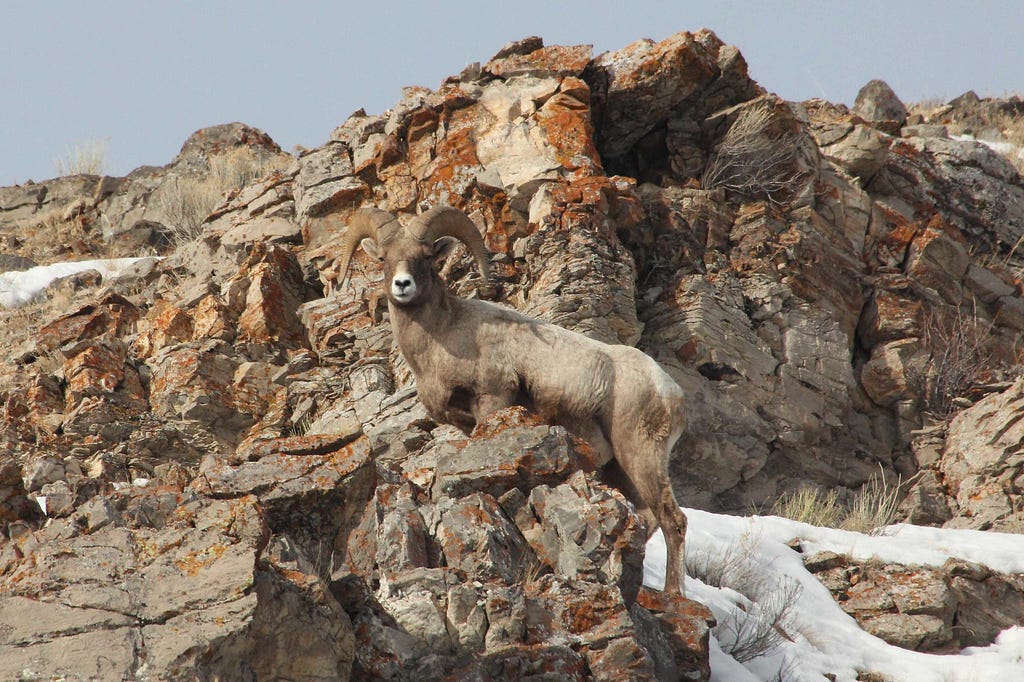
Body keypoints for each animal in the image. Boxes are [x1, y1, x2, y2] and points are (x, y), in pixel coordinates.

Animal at [337, 204, 688, 593]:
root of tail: (671, 394)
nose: (402, 285)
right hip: (619, 469)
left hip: (641, 457)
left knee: (674, 521)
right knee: (648, 519)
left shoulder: (493, 401)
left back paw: (673, 594)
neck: (443, 339)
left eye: (426, 257)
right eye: (384, 258)